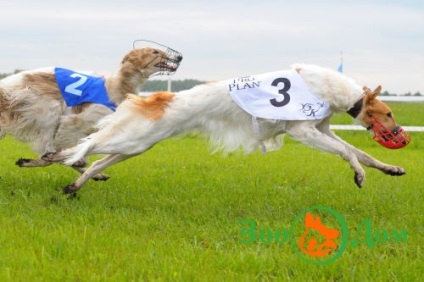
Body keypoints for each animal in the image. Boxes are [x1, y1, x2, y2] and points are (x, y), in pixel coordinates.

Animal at [0, 45, 182, 176]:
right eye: (155, 51)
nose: (180, 57)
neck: (115, 87)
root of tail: (7, 87)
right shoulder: (72, 124)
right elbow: (63, 155)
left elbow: (74, 156)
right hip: (47, 111)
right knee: (47, 154)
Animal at [45, 63, 410, 194]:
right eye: (389, 113)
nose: (402, 136)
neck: (328, 88)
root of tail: (162, 97)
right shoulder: (302, 132)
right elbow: (349, 152)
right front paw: (359, 175)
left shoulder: (323, 129)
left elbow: (358, 150)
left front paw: (391, 168)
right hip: (132, 139)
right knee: (86, 147)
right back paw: (54, 157)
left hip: (136, 145)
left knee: (96, 161)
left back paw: (74, 184)